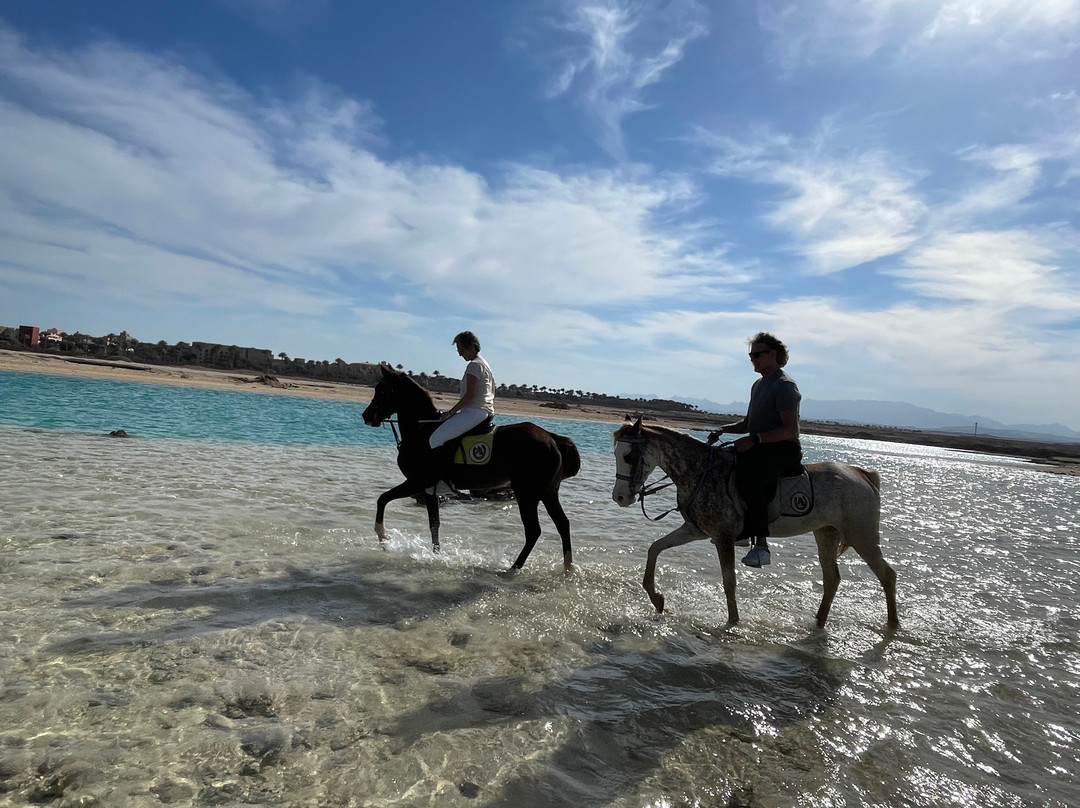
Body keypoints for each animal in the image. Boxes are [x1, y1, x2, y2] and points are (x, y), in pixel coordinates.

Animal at [361, 363, 581, 572]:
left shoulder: (418, 482)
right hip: (548, 492)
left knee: (534, 530)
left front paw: (383, 536)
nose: (366, 416)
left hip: (527, 493)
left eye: (382, 391)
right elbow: (434, 524)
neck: (421, 432)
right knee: (563, 524)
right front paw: (436, 556)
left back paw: (513, 568)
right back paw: (567, 567)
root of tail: (552, 438)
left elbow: (383, 499)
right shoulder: (429, 489)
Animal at [611, 418, 899, 630]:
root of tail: (862, 474)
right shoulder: (695, 531)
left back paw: (893, 626)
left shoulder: (723, 538)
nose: (620, 497)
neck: (700, 472)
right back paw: (818, 624)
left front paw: (733, 622)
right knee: (832, 580)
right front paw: (657, 599)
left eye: (629, 456)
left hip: (862, 535)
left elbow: (729, 582)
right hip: (826, 533)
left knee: (887, 575)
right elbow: (654, 549)